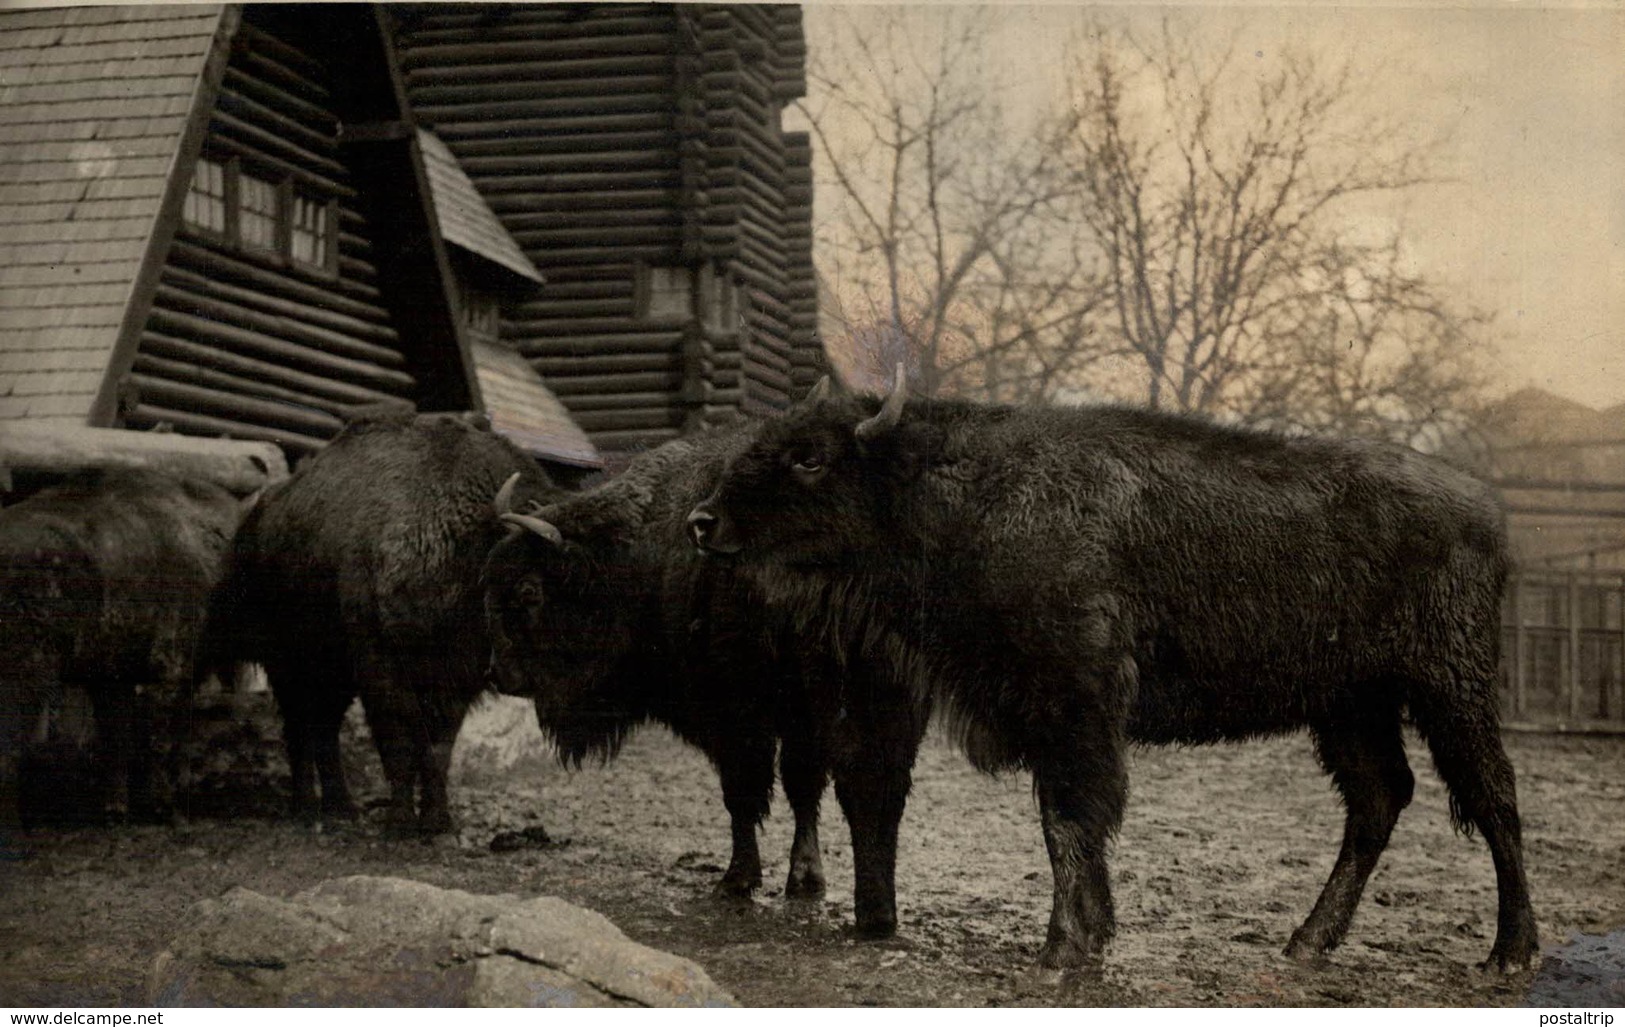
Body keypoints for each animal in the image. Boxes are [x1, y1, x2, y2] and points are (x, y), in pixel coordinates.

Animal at [1, 468, 248, 851]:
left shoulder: (113, 676)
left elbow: (119, 738)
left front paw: (117, 813)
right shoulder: (171, 666)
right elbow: (163, 737)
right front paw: (170, 810)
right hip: (26, 675)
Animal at [477, 429, 838, 903]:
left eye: (529, 591)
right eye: (491, 584)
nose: (498, 674)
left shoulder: (742, 717)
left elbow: (751, 792)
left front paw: (741, 879)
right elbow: (785, 789)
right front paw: (797, 879)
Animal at [682, 370, 1534, 968]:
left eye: (809, 456)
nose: (701, 520)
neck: (958, 487)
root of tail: (1485, 507)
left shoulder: (1075, 703)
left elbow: (1070, 819)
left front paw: (1062, 944)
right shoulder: (1047, 712)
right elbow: (1067, 824)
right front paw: (1090, 933)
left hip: (1448, 687)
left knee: (1492, 798)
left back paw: (1509, 952)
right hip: (1349, 704)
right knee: (1378, 800)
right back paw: (1305, 940)